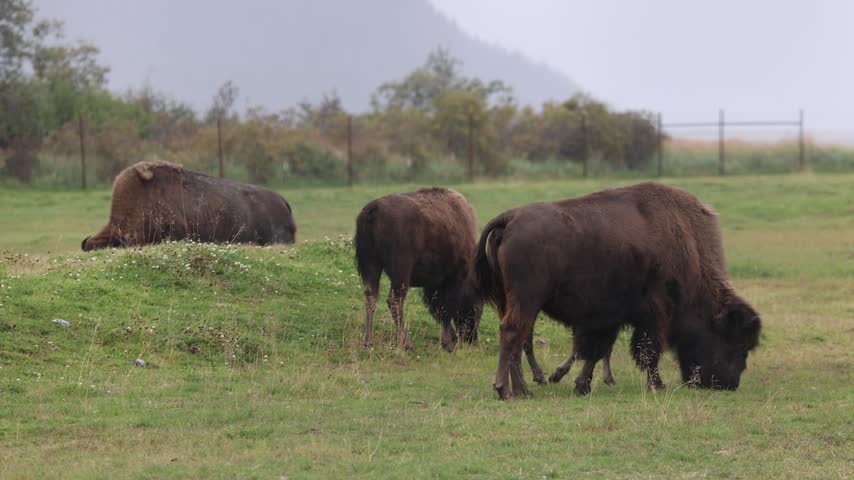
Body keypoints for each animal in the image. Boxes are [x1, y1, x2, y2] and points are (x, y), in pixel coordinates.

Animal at [354, 187, 483, 351]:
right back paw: (406, 343)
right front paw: (448, 342)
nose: (471, 338)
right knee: (394, 301)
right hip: (401, 272)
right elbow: (445, 308)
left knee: (371, 297)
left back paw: (368, 341)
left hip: (371, 266)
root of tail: (373, 209)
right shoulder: (452, 278)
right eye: (478, 304)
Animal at [475, 182, 761, 399]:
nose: (729, 383)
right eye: (736, 343)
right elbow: (647, 351)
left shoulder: (609, 317)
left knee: (516, 337)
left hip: (509, 300)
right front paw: (657, 385)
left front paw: (582, 386)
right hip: (526, 300)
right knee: (512, 333)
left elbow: (597, 350)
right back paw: (506, 391)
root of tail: (510, 219)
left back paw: (521, 390)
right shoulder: (655, 314)